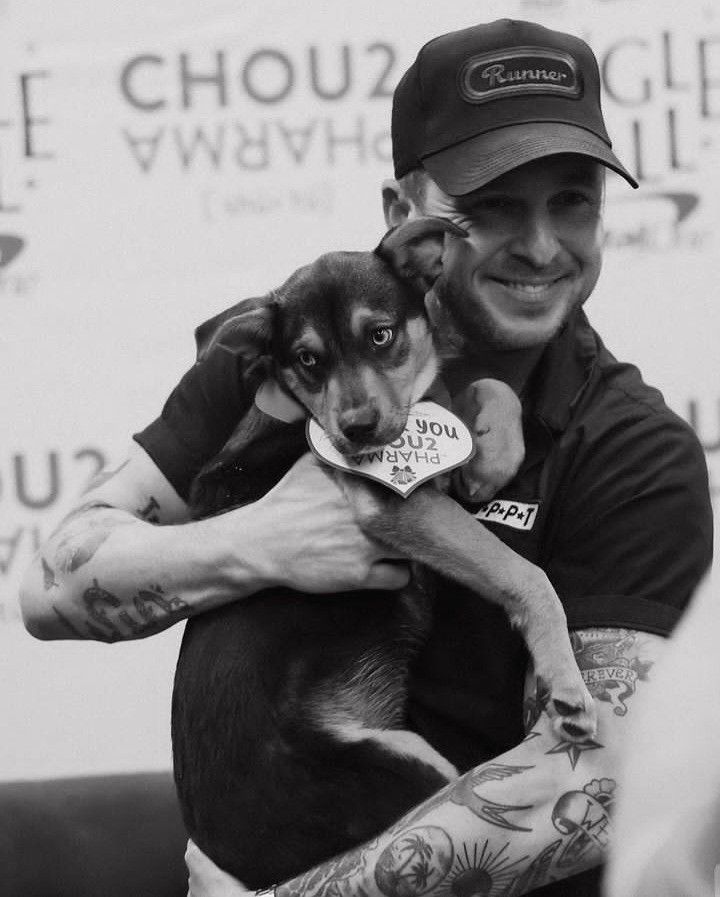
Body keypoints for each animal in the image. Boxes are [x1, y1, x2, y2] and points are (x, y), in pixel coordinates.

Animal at [170, 219, 596, 888]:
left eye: (380, 335)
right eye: (307, 359)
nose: (358, 431)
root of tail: (247, 868)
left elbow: (488, 385)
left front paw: (495, 454)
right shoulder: (394, 503)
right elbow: (525, 575)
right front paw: (565, 680)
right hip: (411, 766)